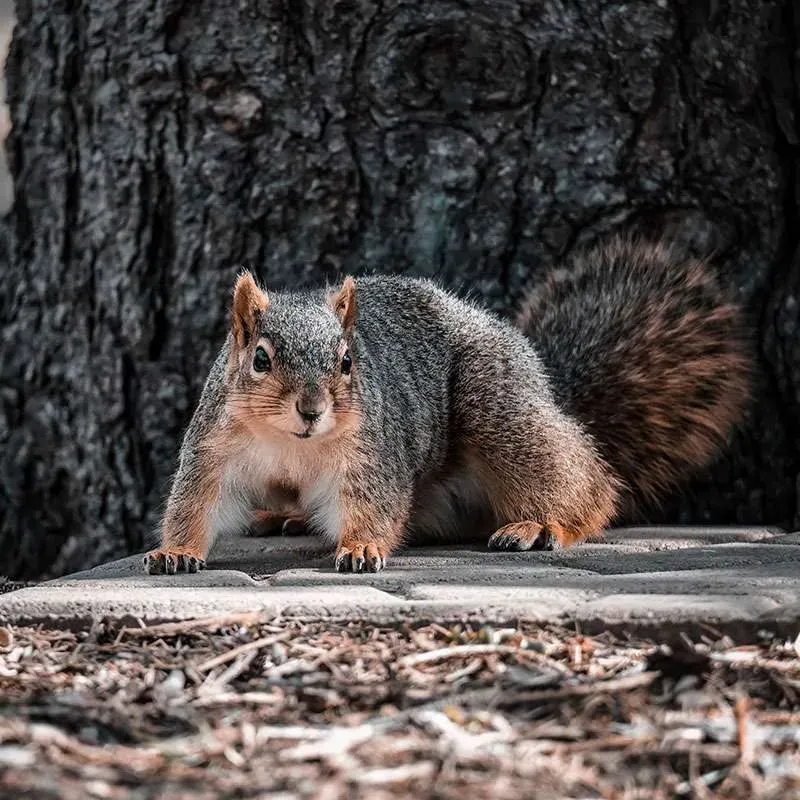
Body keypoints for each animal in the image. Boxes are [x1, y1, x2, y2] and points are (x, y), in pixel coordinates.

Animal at [143, 236, 750, 575]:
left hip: (498, 407)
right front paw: (175, 552)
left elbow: (375, 505)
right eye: (261, 359)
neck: (290, 442)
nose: (312, 409)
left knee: (589, 484)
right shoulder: (214, 449)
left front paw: (361, 547)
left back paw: (542, 524)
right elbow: (196, 504)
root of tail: (546, 385)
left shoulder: (372, 455)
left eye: (347, 361)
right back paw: (283, 517)